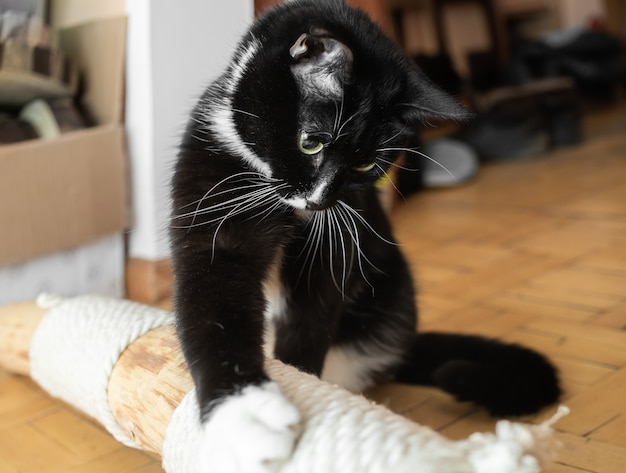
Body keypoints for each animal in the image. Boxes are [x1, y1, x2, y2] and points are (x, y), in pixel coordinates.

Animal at [168, 1, 560, 470]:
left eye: (364, 166)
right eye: (311, 142)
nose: (318, 201)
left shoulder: (331, 251)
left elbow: (310, 317)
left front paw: (301, 386)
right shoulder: (212, 189)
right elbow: (215, 304)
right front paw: (246, 419)